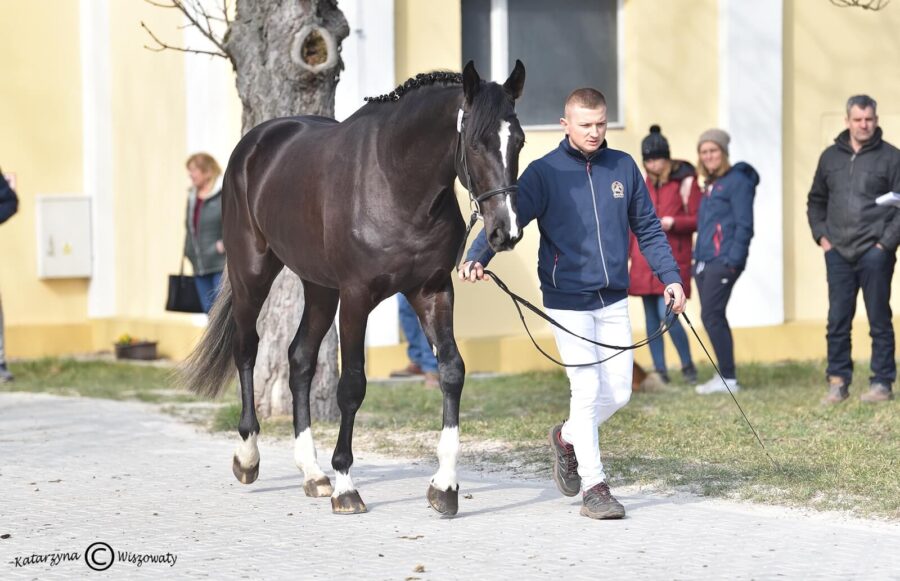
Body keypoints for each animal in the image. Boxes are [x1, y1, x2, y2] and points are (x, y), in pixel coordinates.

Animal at [179, 61, 524, 516]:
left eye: (518, 140)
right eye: (476, 143)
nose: (506, 232)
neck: (396, 182)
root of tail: (254, 143)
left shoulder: (432, 291)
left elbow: (452, 371)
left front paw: (445, 487)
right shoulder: (357, 298)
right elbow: (352, 385)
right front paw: (346, 485)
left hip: (319, 288)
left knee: (300, 359)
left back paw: (312, 473)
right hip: (252, 272)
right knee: (247, 349)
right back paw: (249, 458)